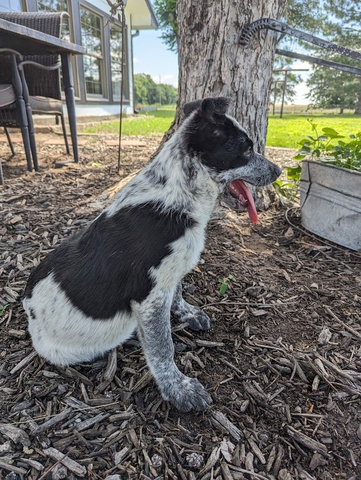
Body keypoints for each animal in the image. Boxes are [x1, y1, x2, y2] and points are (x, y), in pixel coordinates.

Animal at [23, 97, 282, 412]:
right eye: (246, 149)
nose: (279, 171)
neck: (178, 197)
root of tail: (26, 308)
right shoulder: (149, 296)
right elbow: (162, 347)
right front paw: (179, 389)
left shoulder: (169, 277)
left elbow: (178, 292)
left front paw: (187, 314)